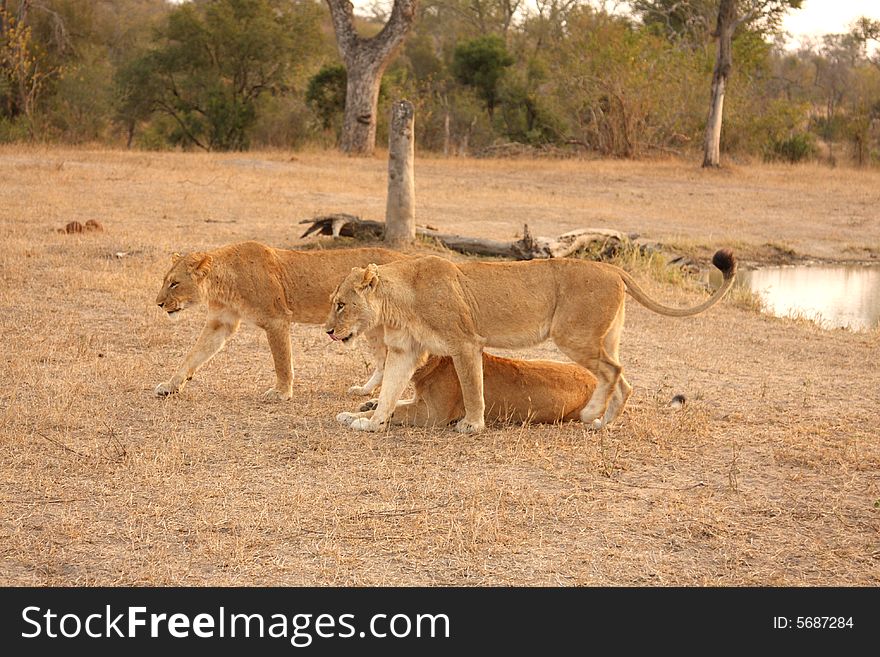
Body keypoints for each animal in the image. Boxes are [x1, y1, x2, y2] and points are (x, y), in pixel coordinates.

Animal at [156, 240, 406, 398]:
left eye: (174, 283)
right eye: (165, 281)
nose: (158, 303)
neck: (223, 282)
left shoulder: (276, 319)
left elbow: (282, 360)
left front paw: (281, 392)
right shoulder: (221, 323)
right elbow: (193, 354)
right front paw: (170, 385)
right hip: (372, 327)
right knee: (383, 362)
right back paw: (365, 391)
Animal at [336, 352, 600, 428]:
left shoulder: (433, 415)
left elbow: (398, 411)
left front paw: (353, 417)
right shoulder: (420, 402)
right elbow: (396, 404)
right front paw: (367, 405)